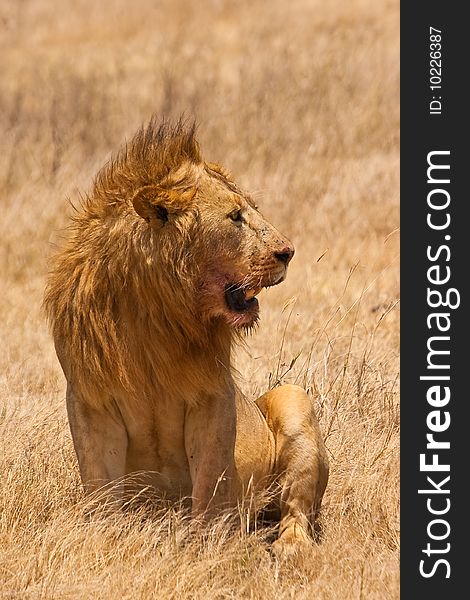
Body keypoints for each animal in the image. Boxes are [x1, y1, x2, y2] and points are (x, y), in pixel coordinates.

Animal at [45, 118, 330, 552]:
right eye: (235, 216)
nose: (288, 252)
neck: (158, 311)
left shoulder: (212, 396)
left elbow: (210, 484)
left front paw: (206, 547)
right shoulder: (90, 399)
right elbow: (100, 484)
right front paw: (102, 540)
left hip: (293, 399)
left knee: (294, 511)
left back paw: (291, 548)